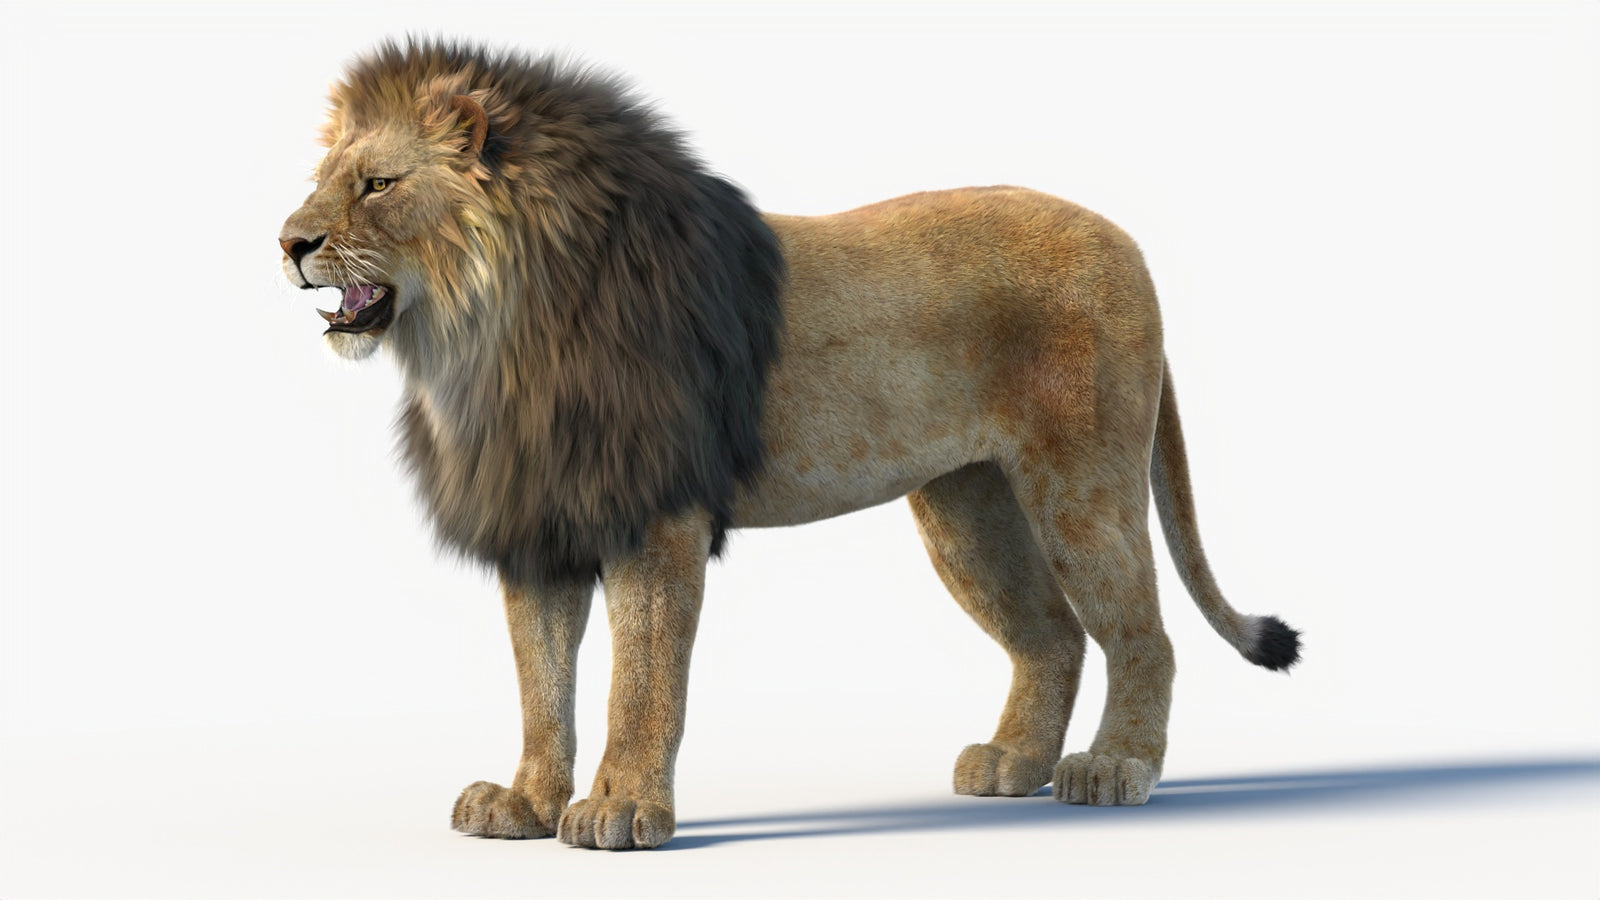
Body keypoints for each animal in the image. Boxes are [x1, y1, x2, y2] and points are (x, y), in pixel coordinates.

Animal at [279, 39, 1300, 851]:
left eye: (378, 183)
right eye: (321, 179)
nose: (289, 241)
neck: (489, 335)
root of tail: (1126, 242)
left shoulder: (656, 520)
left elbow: (640, 683)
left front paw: (620, 811)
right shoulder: (541, 520)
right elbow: (542, 682)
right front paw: (526, 804)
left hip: (1079, 484)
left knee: (1143, 634)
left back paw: (1116, 768)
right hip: (967, 505)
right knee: (1052, 634)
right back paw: (1014, 762)